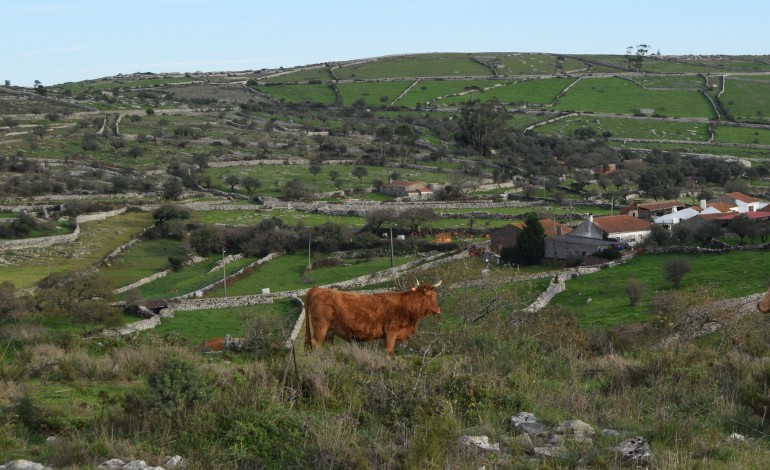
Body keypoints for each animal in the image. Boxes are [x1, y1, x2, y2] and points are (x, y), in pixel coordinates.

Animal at [304, 280, 440, 358]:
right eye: (434, 296)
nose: (439, 309)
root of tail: (317, 289)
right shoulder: (391, 332)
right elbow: (389, 352)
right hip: (320, 326)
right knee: (316, 343)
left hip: (329, 331)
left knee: (328, 346)